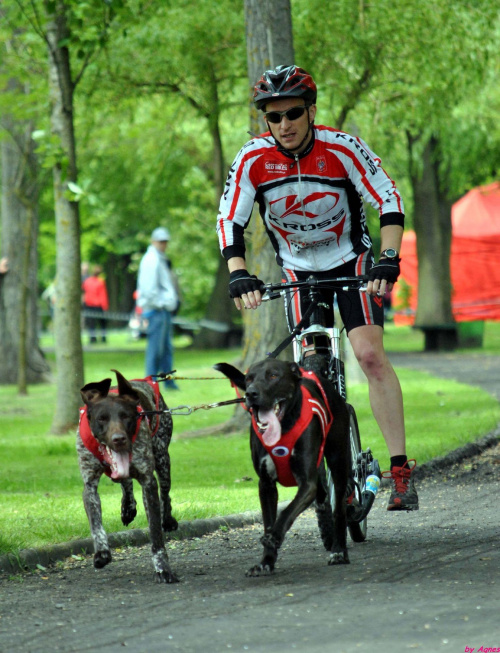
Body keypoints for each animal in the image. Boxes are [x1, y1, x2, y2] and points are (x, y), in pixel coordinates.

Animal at [77, 370, 179, 584]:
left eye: (126, 416)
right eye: (102, 418)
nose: (119, 439)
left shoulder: (149, 482)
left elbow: (155, 533)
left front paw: (162, 568)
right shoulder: (89, 485)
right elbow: (96, 524)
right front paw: (102, 552)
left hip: (162, 459)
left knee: (165, 494)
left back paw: (167, 519)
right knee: (126, 482)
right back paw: (128, 508)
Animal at [215, 356, 352, 576]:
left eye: (273, 375)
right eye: (249, 378)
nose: (250, 393)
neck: (284, 427)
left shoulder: (306, 484)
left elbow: (287, 511)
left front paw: (274, 536)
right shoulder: (266, 485)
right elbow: (268, 520)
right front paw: (266, 561)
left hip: (338, 459)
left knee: (339, 507)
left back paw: (339, 551)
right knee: (322, 492)